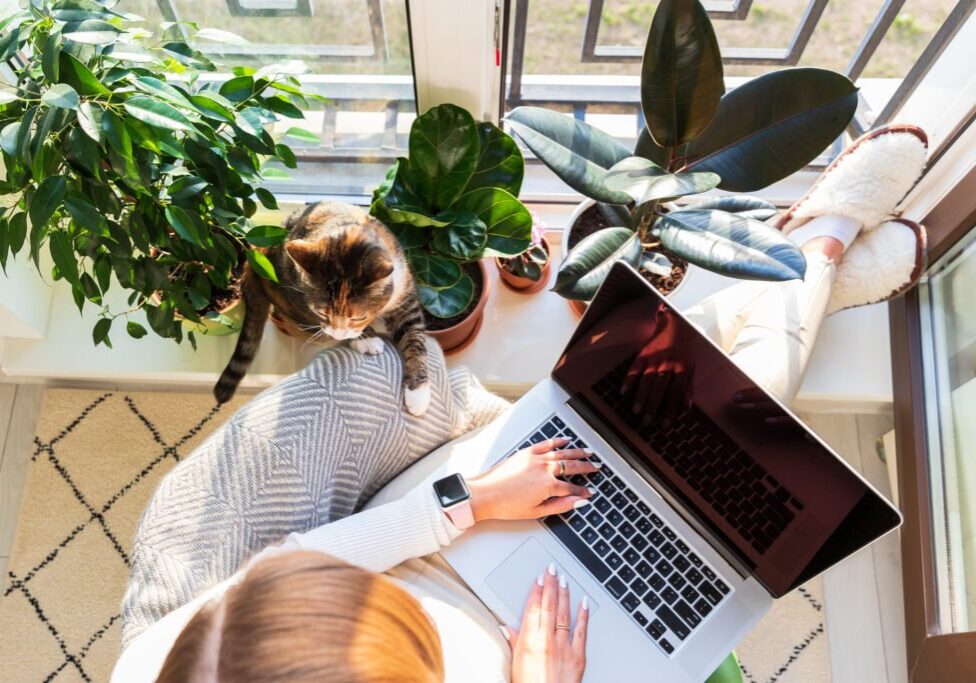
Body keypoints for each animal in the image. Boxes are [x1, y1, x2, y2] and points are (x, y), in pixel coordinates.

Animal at [217, 202, 430, 416]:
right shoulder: (302, 301)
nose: (338, 333)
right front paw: (365, 340)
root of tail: (255, 259)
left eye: (358, 318)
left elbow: (415, 338)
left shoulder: (405, 296)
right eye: (322, 313)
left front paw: (418, 392)